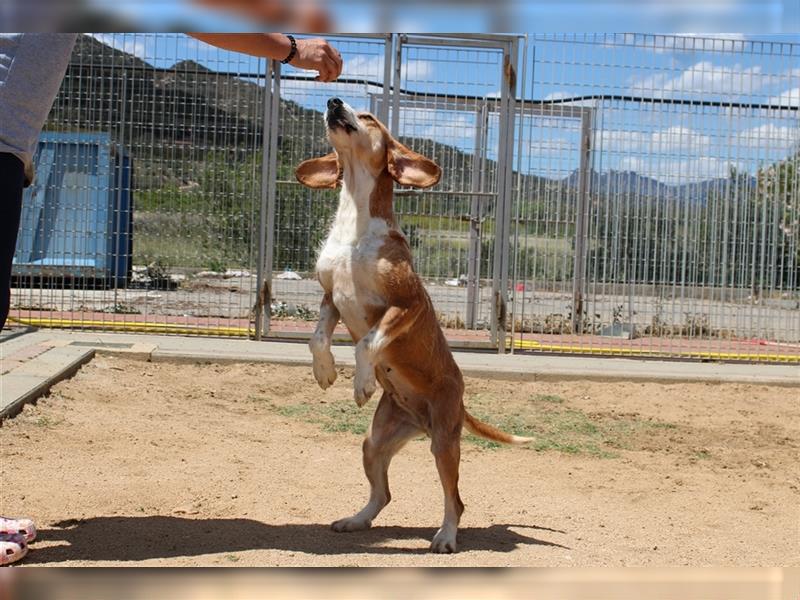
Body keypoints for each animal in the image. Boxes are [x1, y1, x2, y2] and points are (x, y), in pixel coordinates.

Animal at [294, 98, 532, 552]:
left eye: (369, 117)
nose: (333, 101)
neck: (354, 228)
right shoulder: (331, 298)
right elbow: (317, 339)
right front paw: (325, 371)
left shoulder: (407, 305)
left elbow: (367, 342)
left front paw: (362, 382)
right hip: (375, 441)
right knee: (384, 494)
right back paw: (356, 520)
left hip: (444, 443)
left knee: (456, 500)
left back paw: (446, 537)